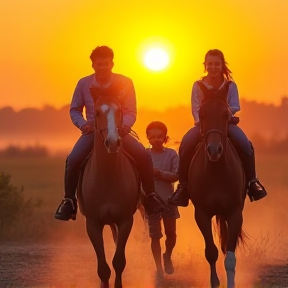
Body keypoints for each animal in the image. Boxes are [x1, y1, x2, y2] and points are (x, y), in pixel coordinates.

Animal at [77, 95, 138, 288]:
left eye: (119, 111)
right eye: (96, 112)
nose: (113, 142)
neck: (108, 177)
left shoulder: (125, 221)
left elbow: (118, 261)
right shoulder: (93, 224)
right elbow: (103, 268)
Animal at [189, 82, 248, 288]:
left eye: (225, 114)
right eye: (202, 114)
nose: (214, 150)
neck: (217, 172)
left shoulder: (235, 213)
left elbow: (229, 257)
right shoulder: (202, 214)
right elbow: (211, 252)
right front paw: (215, 282)